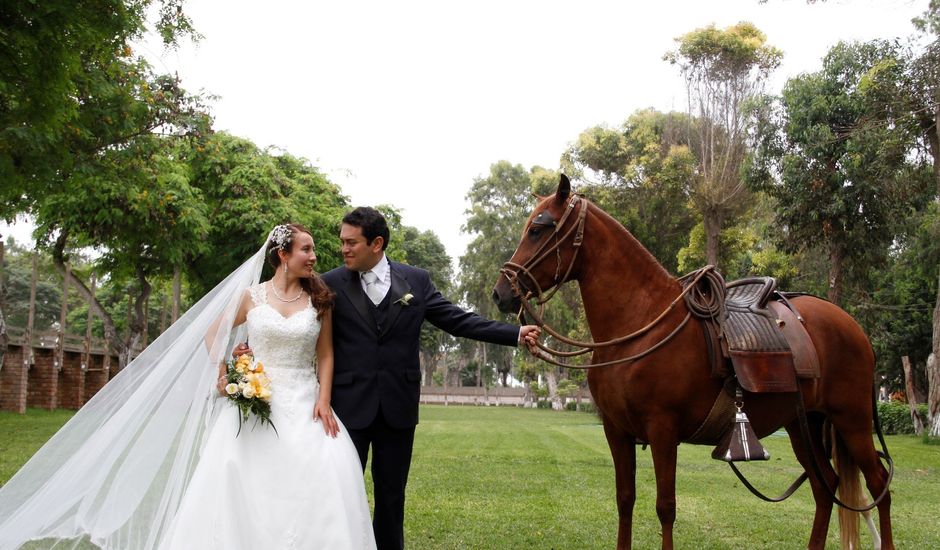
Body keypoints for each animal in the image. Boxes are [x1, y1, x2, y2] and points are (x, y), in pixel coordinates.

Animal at [492, 175, 896, 548]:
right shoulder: (616, 431)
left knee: (879, 483)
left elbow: (665, 507)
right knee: (825, 486)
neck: (639, 322)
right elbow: (625, 501)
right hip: (804, 424)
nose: (501, 292)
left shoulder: (662, 429)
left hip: (852, 420)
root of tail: (853, 326)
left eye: (538, 229)